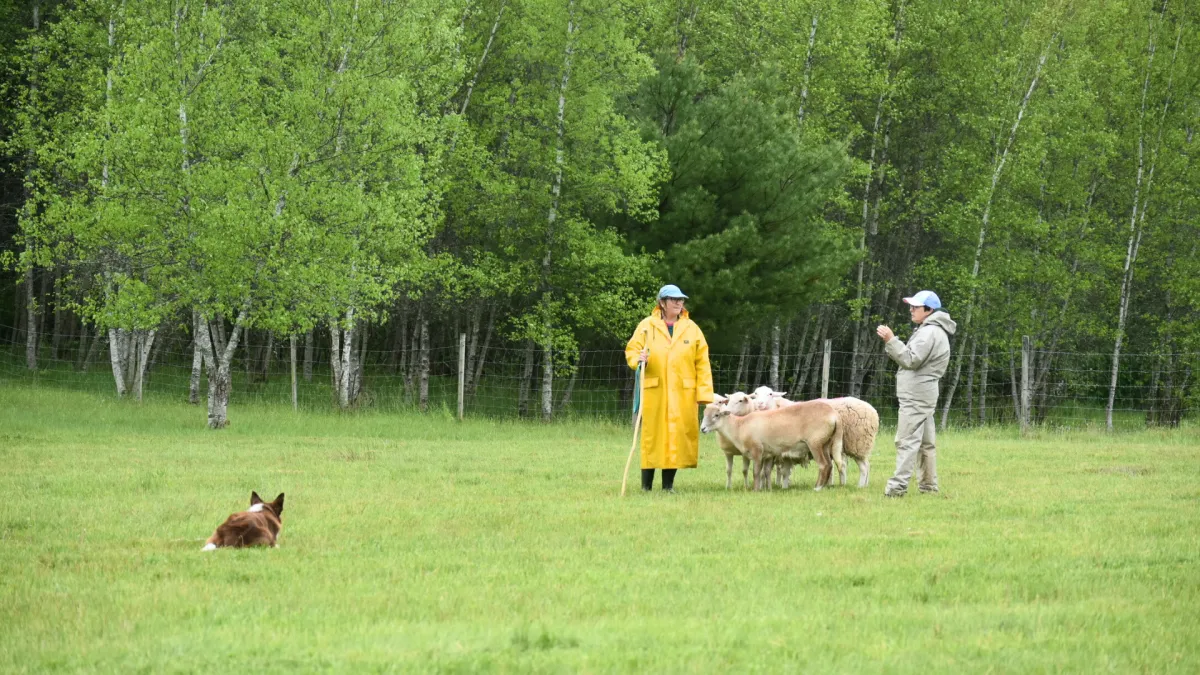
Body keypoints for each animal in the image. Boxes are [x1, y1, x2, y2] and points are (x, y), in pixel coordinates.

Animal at [700, 399, 844, 491]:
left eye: (716, 415)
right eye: (704, 414)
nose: (702, 429)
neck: (739, 426)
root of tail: (834, 415)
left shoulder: (756, 450)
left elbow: (756, 472)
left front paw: (756, 490)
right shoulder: (768, 454)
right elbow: (767, 472)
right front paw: (768, 489)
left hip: (815, 442)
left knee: (823, 465)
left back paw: (817, 487)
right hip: (826, 443)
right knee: (829, 464)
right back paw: (822, 486)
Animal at [749, 387, 878, 488]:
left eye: (770, 394)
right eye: (755, 393)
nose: (760, 404)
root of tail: (873, 410)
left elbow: (781, 471)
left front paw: (773, 486)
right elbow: (779, 471)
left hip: (857, 444)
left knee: (863, 467)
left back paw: (859, 486)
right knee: (866, 465)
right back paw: (862, 485)